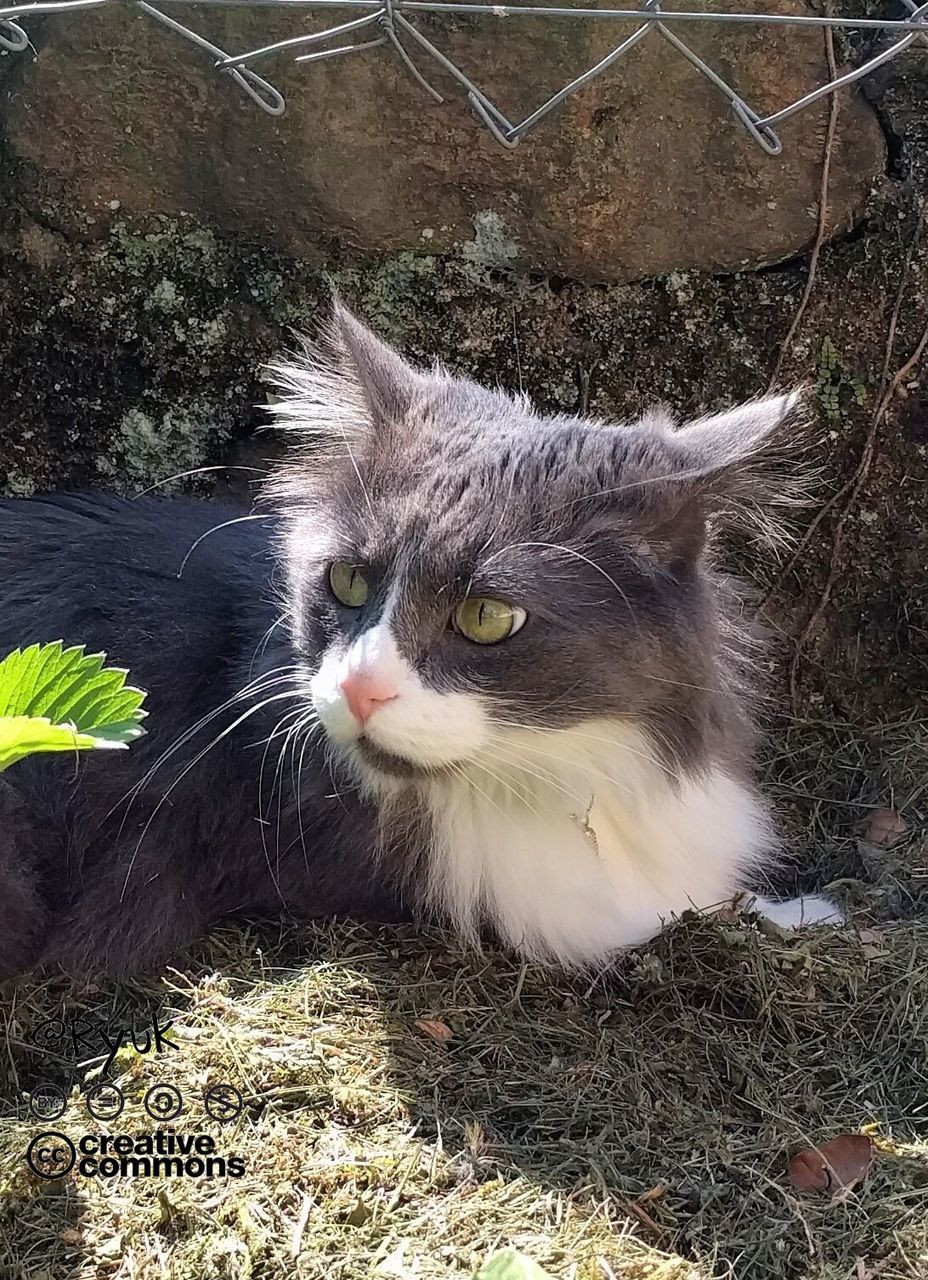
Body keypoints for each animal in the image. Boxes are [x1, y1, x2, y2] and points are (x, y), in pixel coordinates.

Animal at [0, 302, 839, 977]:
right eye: (346, 582)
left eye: (487, 617)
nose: (358, 688)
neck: (566, 771)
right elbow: (676, 911)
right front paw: (803, 915)